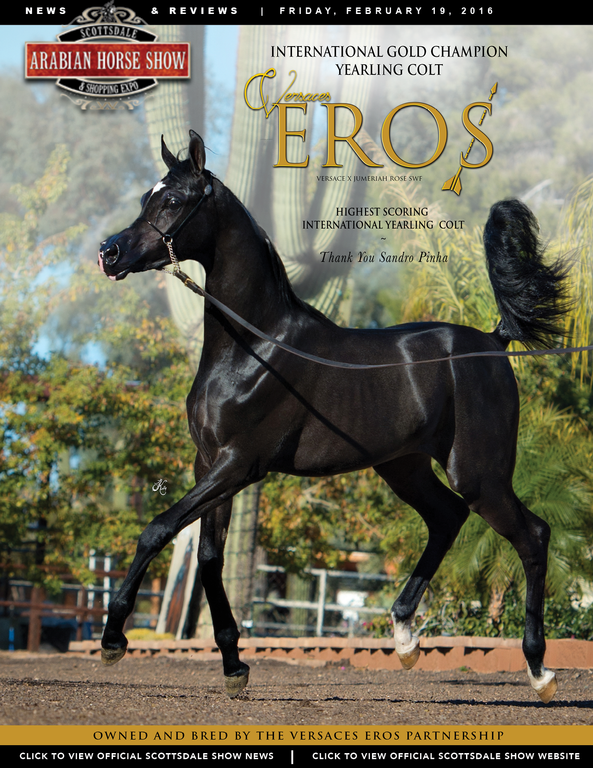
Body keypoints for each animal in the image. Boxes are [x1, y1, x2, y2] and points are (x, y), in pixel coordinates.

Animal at [97, 130, 569, 704]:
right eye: (146, 194)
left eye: (171, 199)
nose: (109, 253)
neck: (254, 347)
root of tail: (494, 342)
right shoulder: (208, 465)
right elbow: (209, 559)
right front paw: (234, 666)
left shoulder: (238, 465)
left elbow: (157, 529)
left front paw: (114, 639)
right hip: (404, 467)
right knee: (446, 518)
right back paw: (405, 637)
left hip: (480, 474)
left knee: (533, 535)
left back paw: (539, 671)